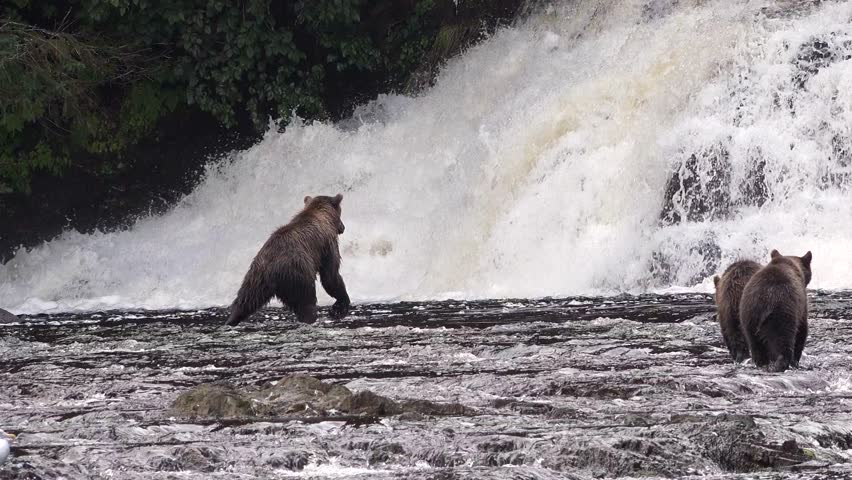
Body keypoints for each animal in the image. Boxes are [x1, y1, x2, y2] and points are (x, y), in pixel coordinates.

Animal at [225, 194, 351, 326]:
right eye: (341, 212)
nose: (343, 227)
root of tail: (270, 270)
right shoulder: (327, 244)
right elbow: (330, 276)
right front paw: (340, 306)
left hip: (254, 279)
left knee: (244, 302)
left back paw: (231, 320)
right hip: (298, 275)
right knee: (307, 303)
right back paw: (310, 318)